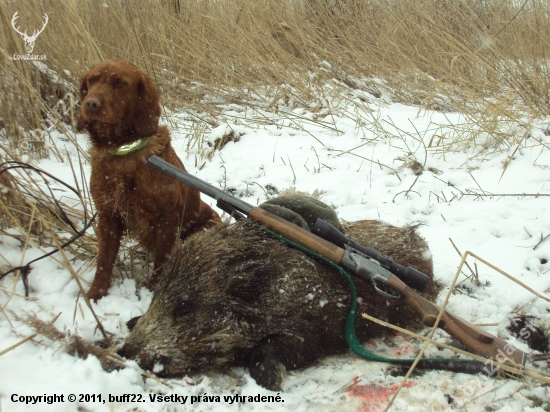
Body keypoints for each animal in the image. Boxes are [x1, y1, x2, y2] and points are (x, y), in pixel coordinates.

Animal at [77, 59, 222, 300]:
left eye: (120, 83)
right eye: (91, 80)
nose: (91, 104)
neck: (123, 152)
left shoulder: (167, 218)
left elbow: (162, 262)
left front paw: (154, 292)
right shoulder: (107, 215)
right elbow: (104, 260)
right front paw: (95, 294)